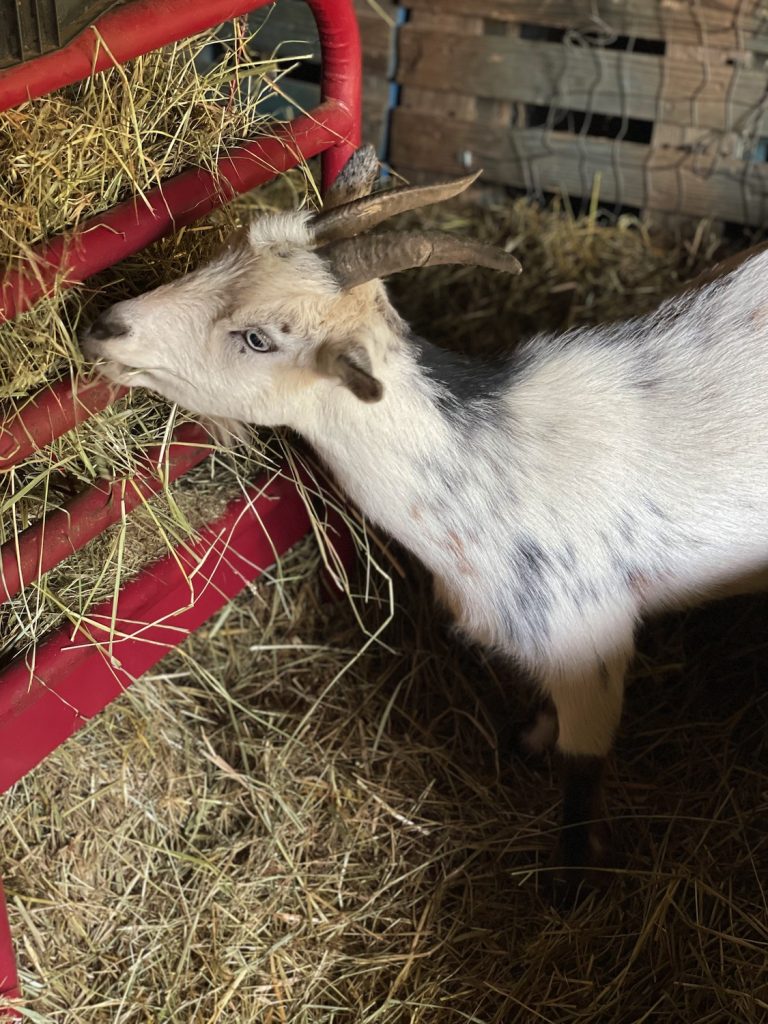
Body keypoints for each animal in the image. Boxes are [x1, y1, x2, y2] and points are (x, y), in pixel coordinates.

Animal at [81, 148, 768, 892]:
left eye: (258, 338)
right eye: (229, 249)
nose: (104, 326)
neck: (484, 466)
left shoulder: (590, 647)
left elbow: (582, 774)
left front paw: (568, 885)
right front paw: (530, 737)